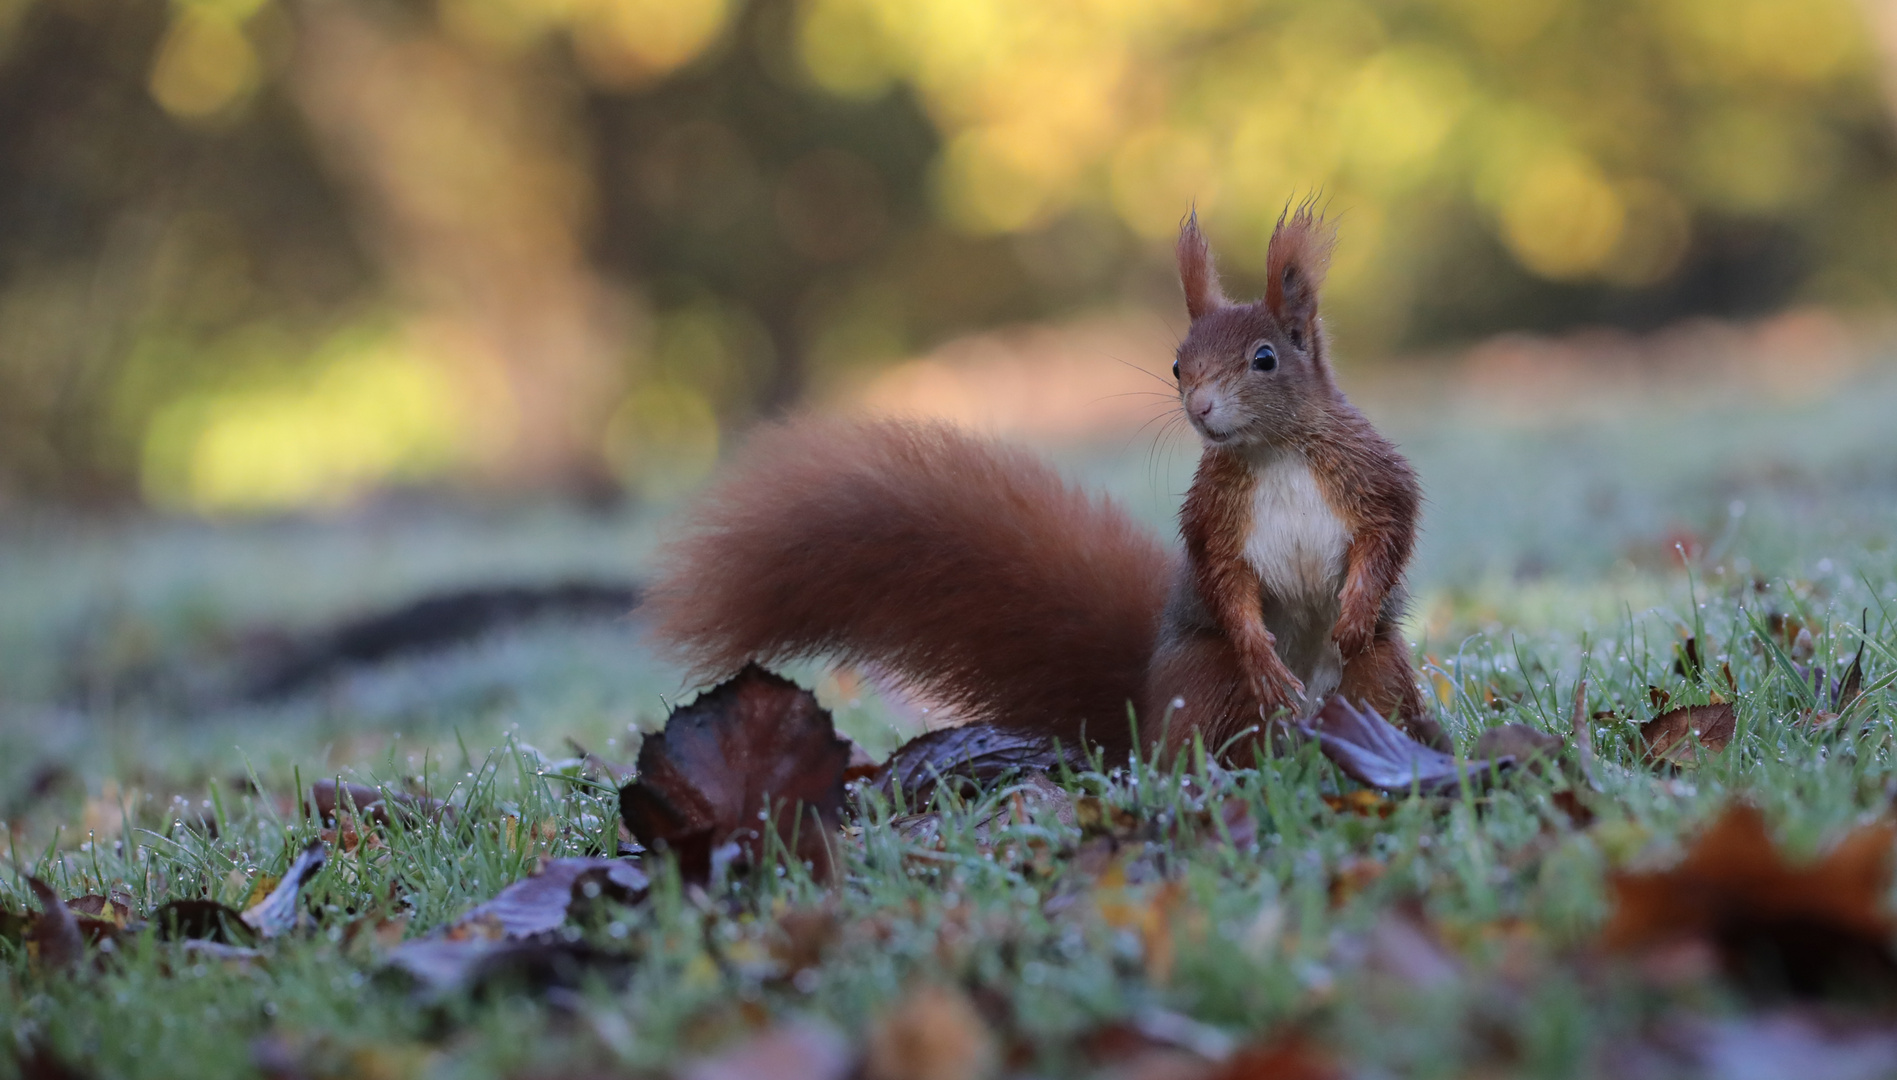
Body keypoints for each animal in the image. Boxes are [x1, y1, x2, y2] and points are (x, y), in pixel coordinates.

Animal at [644, 204, 1441, 759]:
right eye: (1177, 366)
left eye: (1266, 359)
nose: (1201, 408)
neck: (1273, 454)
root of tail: (1145, 708)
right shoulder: (1217, 517)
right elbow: (1225, 579)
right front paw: (1258, 648)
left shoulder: (1368, 477)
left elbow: (1388, 532)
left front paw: (1353, 609)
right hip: (1207, 684)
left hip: (1375, 673)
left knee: (1376, 697)